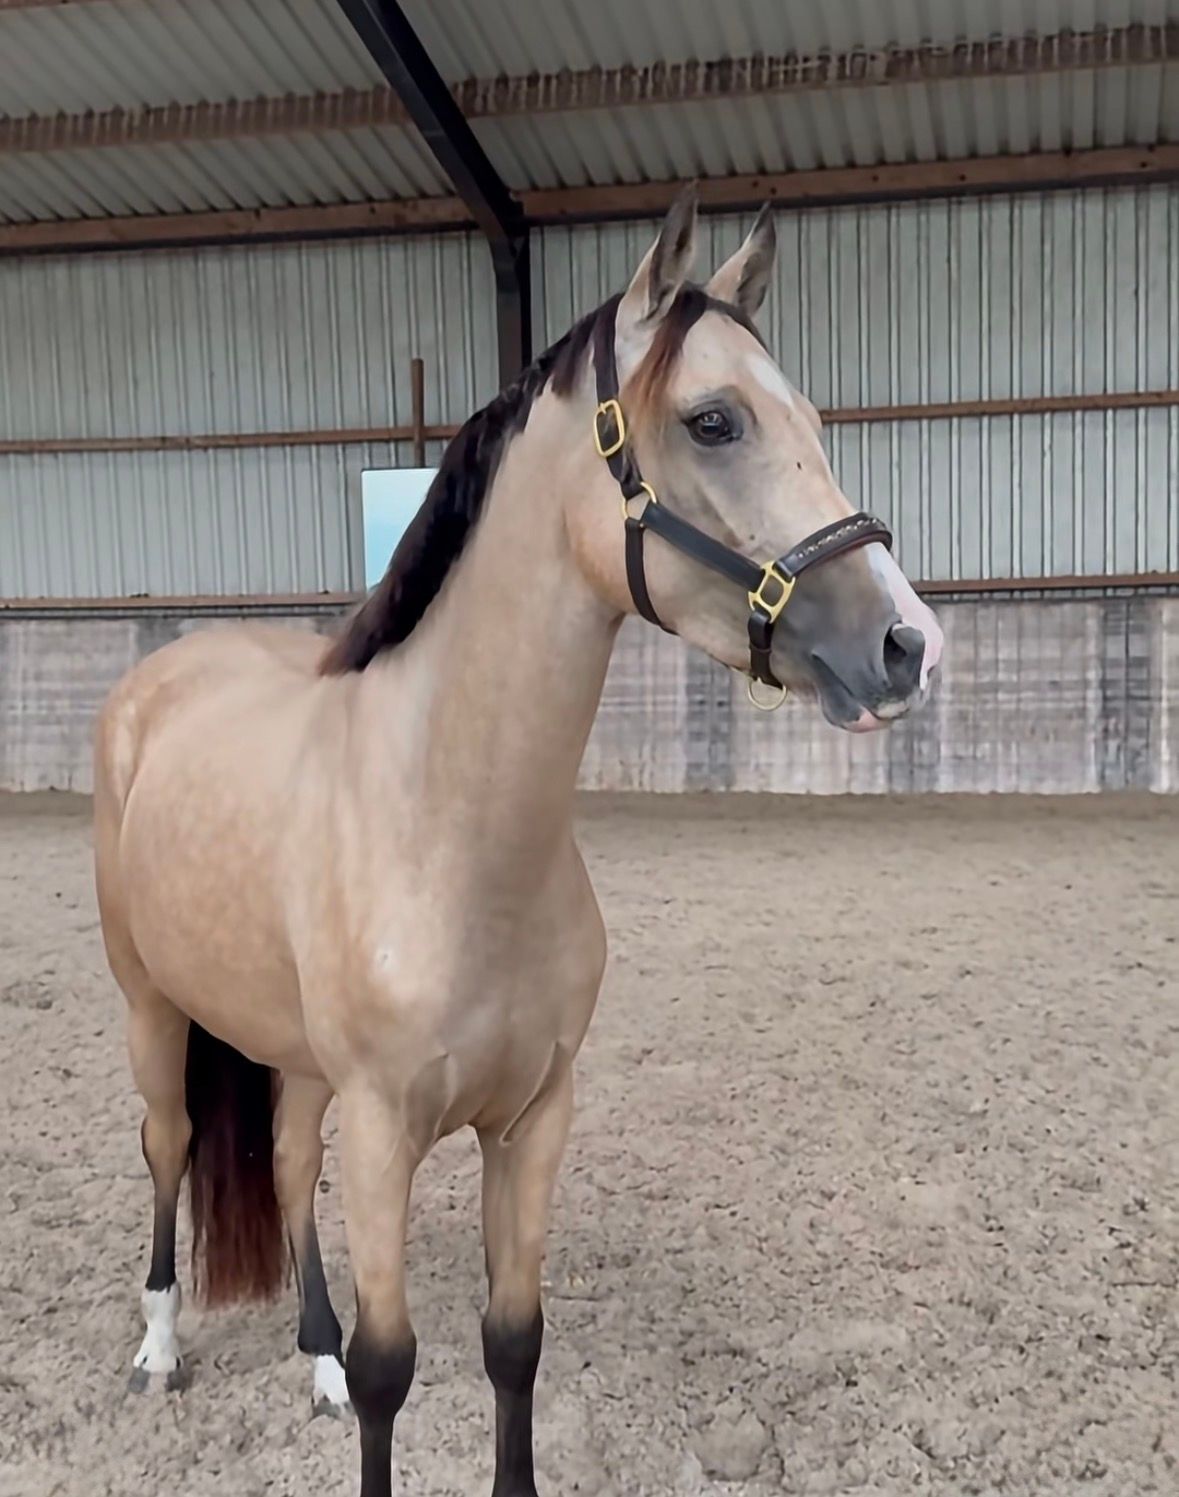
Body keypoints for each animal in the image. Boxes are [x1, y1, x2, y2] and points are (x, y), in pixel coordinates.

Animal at [93, 184, 943, 1497]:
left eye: (809, 416)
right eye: (713, 421)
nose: (908, 644)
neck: (450, 835)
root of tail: (162, 681)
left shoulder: (534, 1120)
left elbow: (512, 1342)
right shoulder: (384, 1131)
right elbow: (397, 1371)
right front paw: (339, 1372)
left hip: (289, 1052)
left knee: (280, 1162)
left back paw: (311, 1355)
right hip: (154, 1011)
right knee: (170, 1143)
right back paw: (158, 1349)